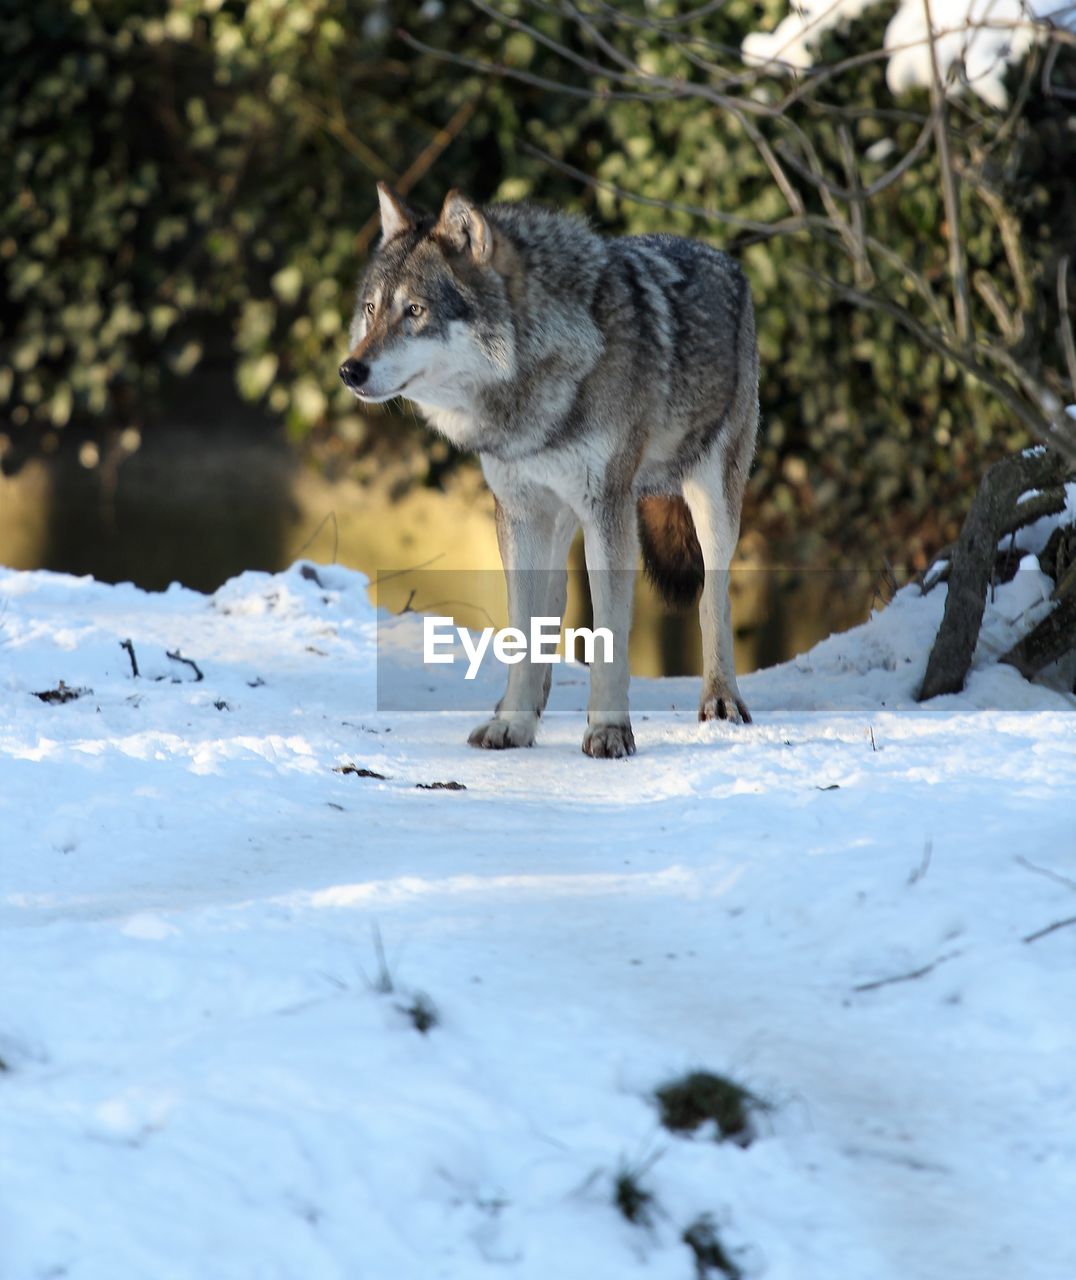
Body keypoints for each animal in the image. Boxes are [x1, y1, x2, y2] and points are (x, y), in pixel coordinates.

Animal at [342, 185, 757, 752]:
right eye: (371, 308)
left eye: (415, 310)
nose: (349, 370)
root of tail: (725, 258)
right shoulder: (518, 513)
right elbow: (522, 633)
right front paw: (512, 724)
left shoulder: (608, 511)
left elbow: (609, 639)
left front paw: (608, 731)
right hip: (559, 522)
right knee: (549, 613)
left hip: (710, 502)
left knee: (715, 600)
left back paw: (721, 702)